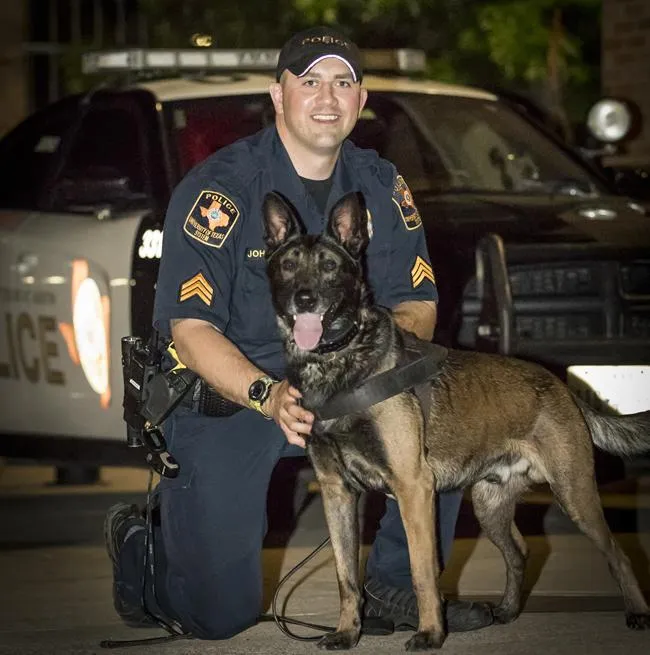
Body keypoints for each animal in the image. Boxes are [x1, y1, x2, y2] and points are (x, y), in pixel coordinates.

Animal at [260, 190, 644, 652]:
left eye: (330, 267)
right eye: (288, 265)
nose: (304, 298)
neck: (340, 362)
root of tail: (559, 383)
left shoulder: (413, 489)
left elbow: (423, 571)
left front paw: (430, 633)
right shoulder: (337, 494)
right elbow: (346, 578)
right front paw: (347, 632)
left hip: (574, 494)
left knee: (617, 553)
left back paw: (636, 612)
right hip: (489, 504)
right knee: (520, 551)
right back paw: (508, 610)